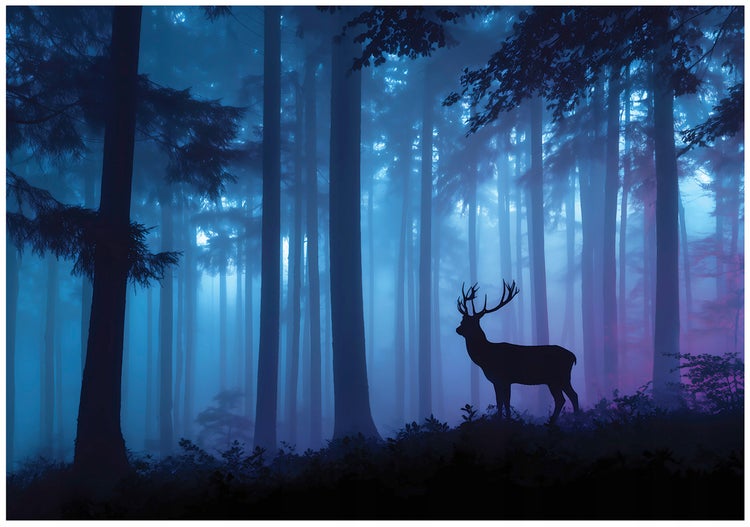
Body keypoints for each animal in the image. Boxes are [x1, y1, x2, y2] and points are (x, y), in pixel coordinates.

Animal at [456, 280, 579, 424]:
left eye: (470, 322)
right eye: (462, 320)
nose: (457, 329)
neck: (487, 357)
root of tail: (573, 356)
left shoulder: (506, 378)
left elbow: (507, 402)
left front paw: (509, 420)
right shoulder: (496, 381)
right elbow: (499, 402)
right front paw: (499, 420)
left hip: (560, 376)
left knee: (570, 396)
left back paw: (573, 420)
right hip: (554, 379)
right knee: (563, 398)